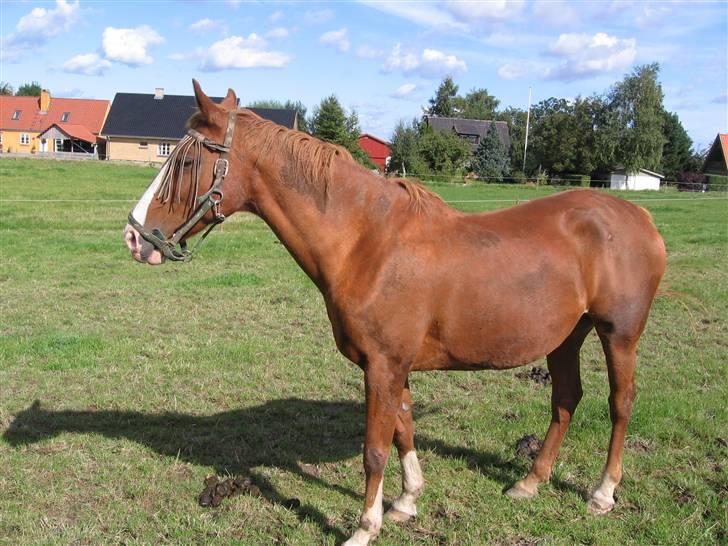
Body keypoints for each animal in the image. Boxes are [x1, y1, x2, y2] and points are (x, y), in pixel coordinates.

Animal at [126, 81, 664, 544]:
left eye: (186, 160)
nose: (134, 236)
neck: (366, 242)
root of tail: (637, 215)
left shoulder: (383, 365)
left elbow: (375, 449)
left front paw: (365, 527)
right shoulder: (392, 365)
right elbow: (404, 426)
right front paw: (407, 501)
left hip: (618, 334)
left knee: (621, 403)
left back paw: (602, 492)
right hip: (566, 337)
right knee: (566, 400)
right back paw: (530, 482)